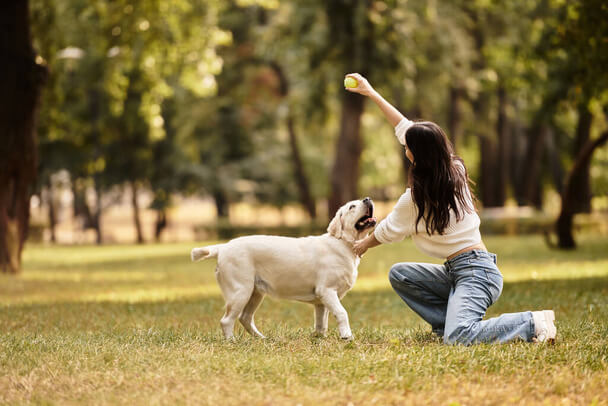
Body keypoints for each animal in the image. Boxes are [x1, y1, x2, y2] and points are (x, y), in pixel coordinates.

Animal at [192, 197, 378, 340]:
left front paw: (319, 338)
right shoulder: (327, 291)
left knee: (245, 318)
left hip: (255, 293)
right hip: (240, 291)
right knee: (227, 320)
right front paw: (347, 336)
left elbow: (321, 323)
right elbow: (342, 313)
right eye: (351, 207)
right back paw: (232, 341)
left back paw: (261, 338)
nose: (367, 199)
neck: (343, 243)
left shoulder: (321, 301)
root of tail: (223, 247)